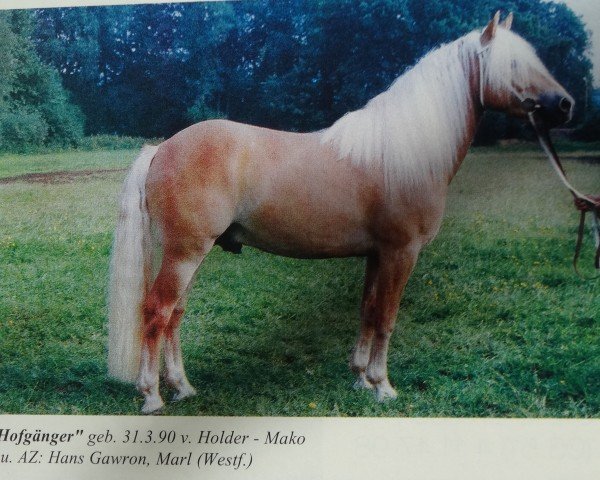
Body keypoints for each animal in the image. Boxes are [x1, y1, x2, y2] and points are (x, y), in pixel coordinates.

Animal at [109, 13, 576, 414]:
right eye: (513, 63)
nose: (566, 104)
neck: (404, 153)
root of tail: (162, 148)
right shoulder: (401, 253)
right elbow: (386, 316)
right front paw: (383, 386)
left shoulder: (377, 254)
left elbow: (368, 309)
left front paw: (360, 378)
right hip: (184, 253)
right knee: (157, 312)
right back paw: (152, 396)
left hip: (189, 254)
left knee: (175, 315)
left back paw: (182, 387)